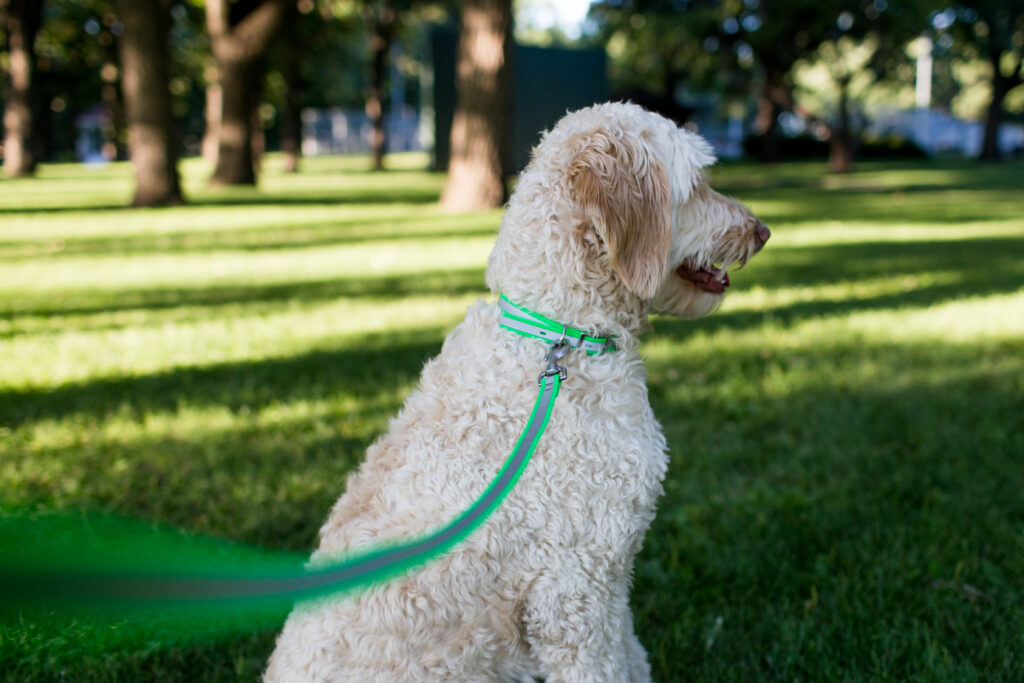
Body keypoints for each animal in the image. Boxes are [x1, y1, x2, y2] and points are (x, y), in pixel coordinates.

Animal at [264, 102, 770, 683]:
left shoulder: (611, 586)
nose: (763, 231)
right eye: (699, 184)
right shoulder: (574, 591)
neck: (562, 335)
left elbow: (631, 657)